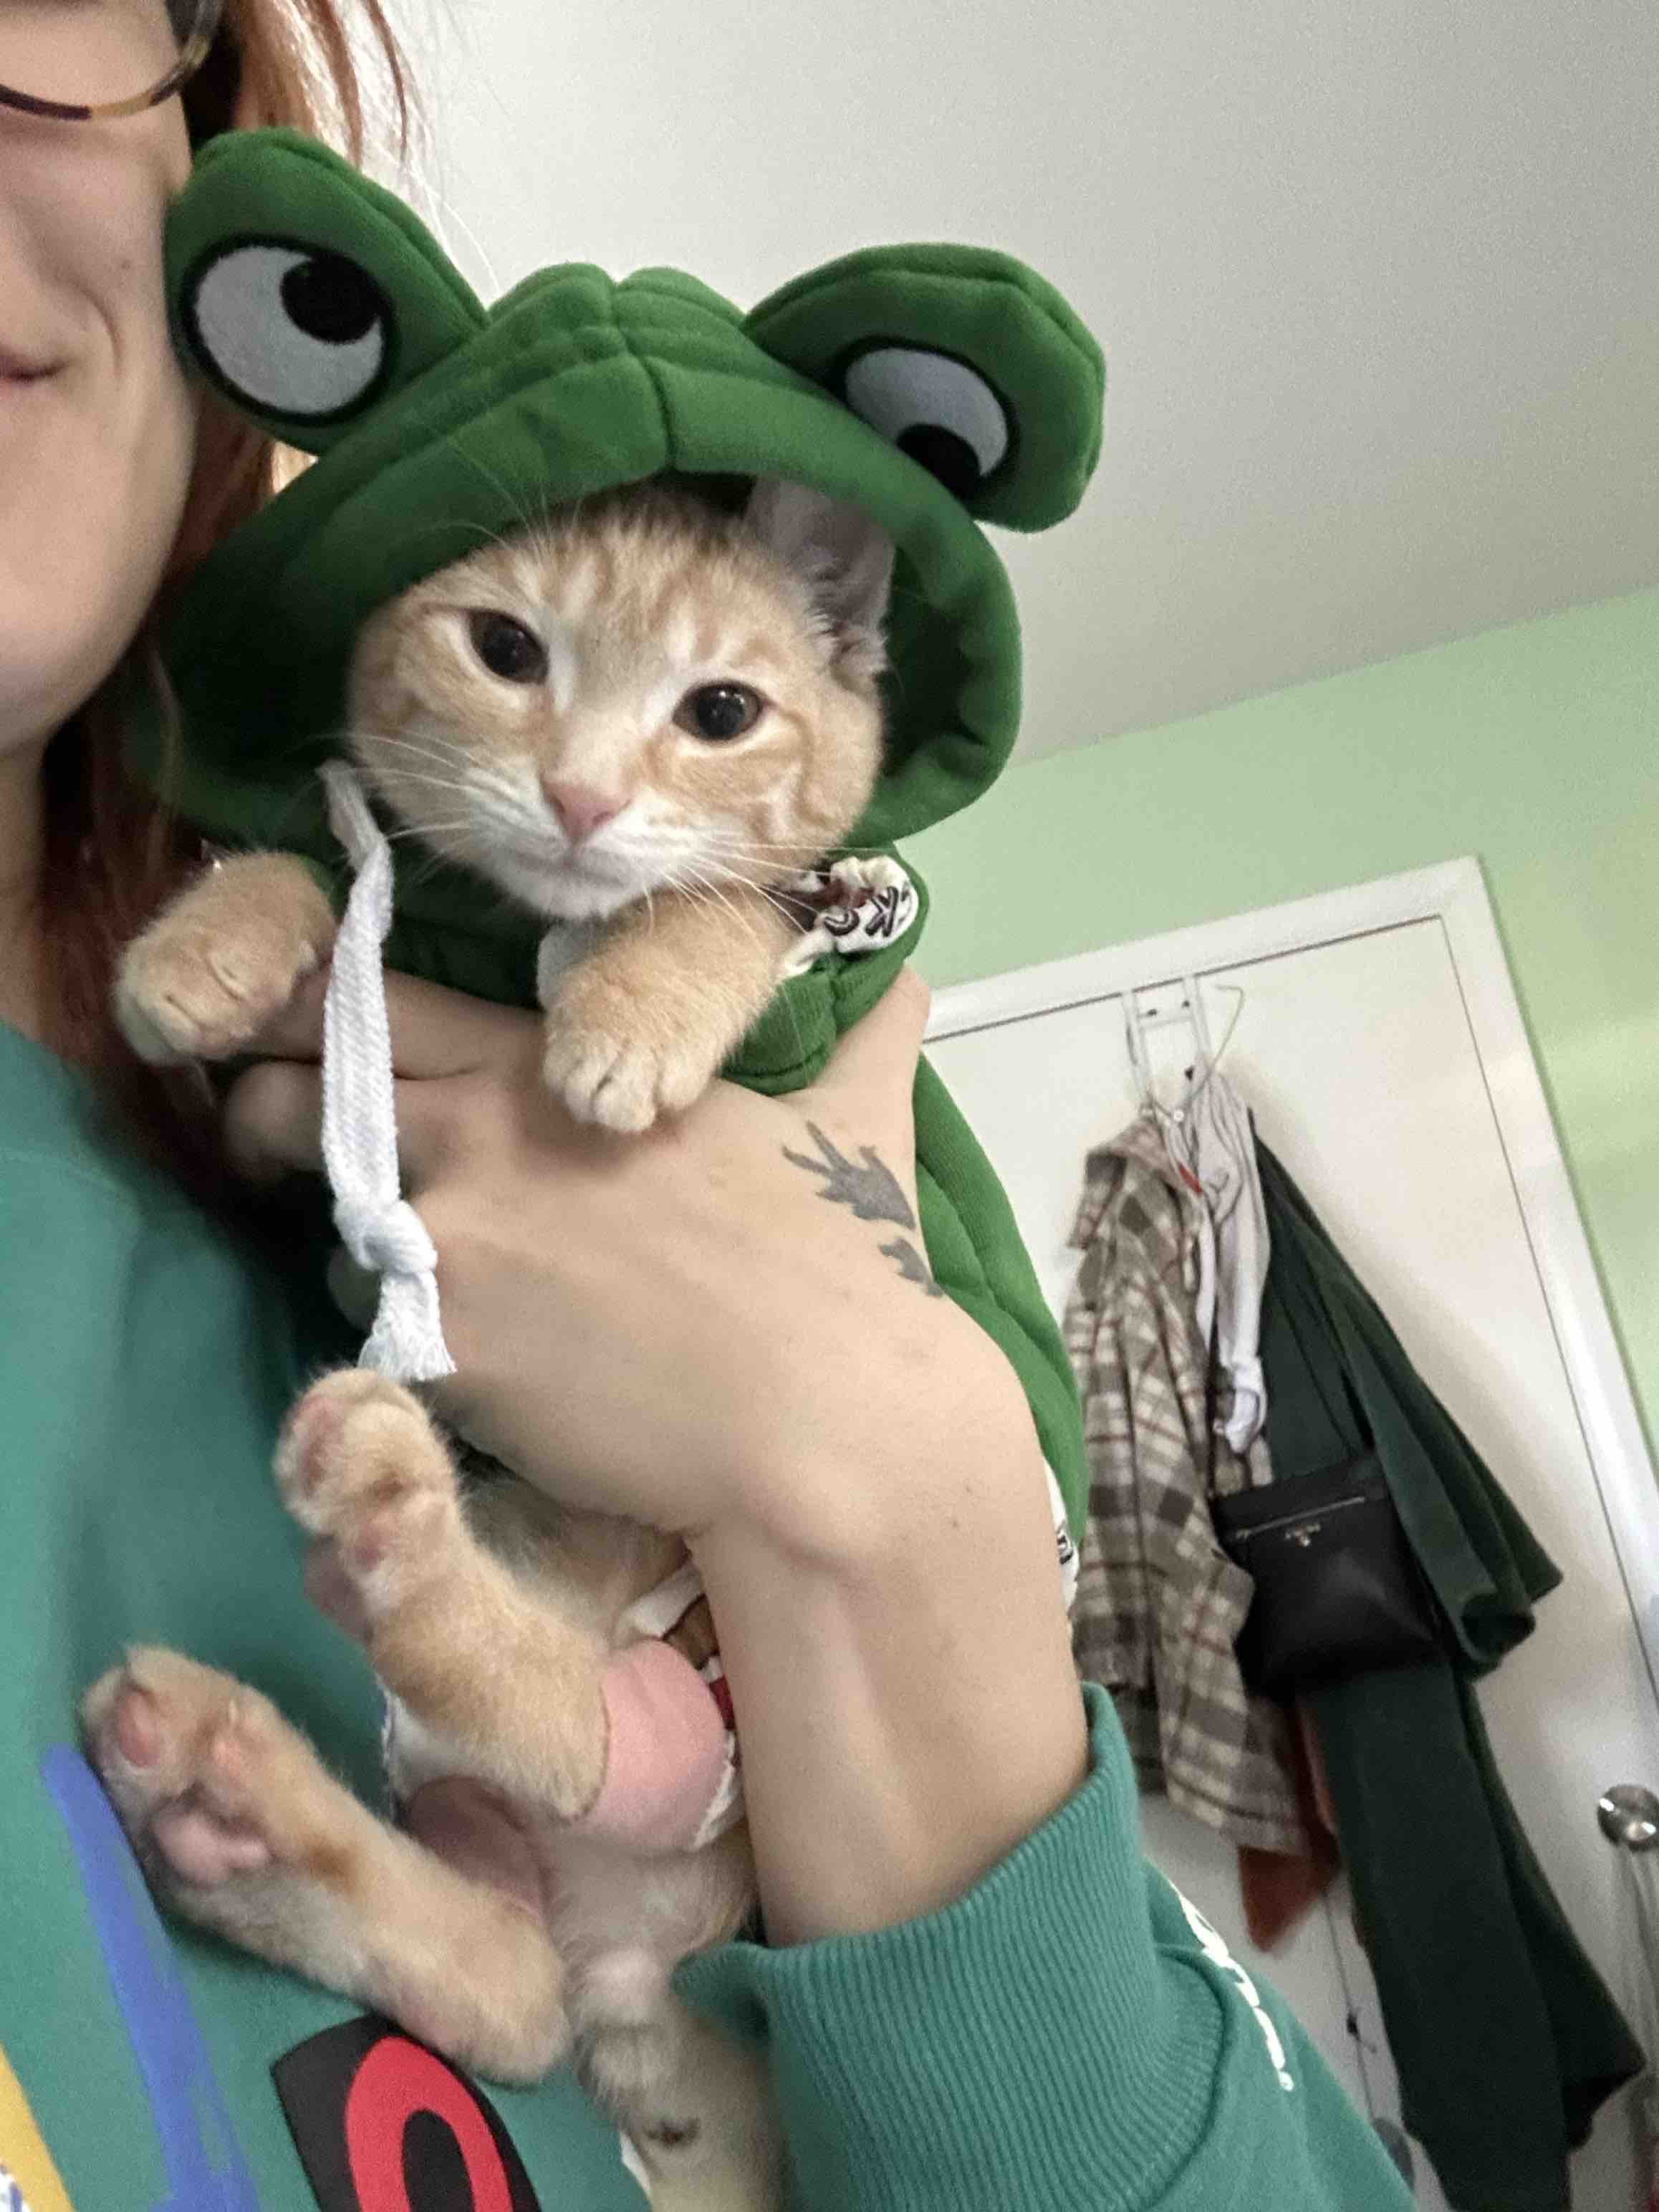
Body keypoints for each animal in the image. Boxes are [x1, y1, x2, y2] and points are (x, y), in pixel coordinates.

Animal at [89, 476, 899, 2201]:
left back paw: (385, 1536)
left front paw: (637, 1008)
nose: (583, 796)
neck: (519, 930)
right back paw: (233, 1792)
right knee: (506, 1971)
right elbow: (327, 872)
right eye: (507, 651)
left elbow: (745, 897)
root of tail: (634, 1965)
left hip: (699, 1725)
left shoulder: (852, 930)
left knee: (583, 1738)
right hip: (518, 1851)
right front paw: (211, 940)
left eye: (720, 712)